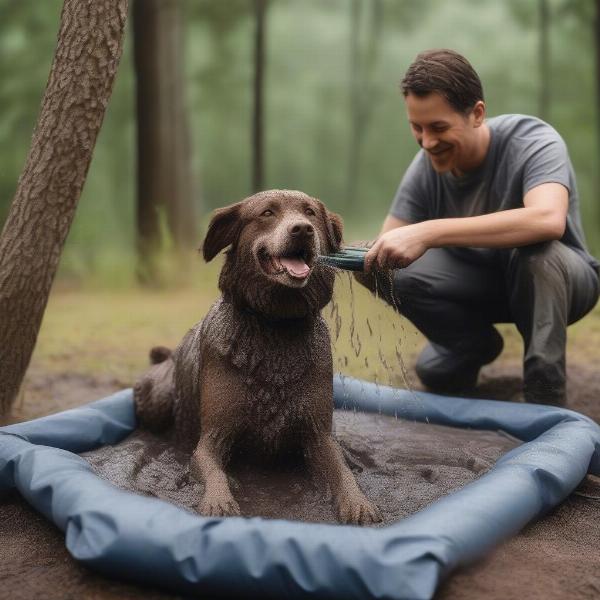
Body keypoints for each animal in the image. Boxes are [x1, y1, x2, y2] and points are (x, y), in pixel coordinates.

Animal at [134, 191, 382, 524]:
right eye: (267, 213)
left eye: (310, 213)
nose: (302, 230)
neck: (275, 324)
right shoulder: (212, 438)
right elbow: (212, 470)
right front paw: (220, 500)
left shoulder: (317, 434)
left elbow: (341, 471)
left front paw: (358, 502)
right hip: (156, 400)